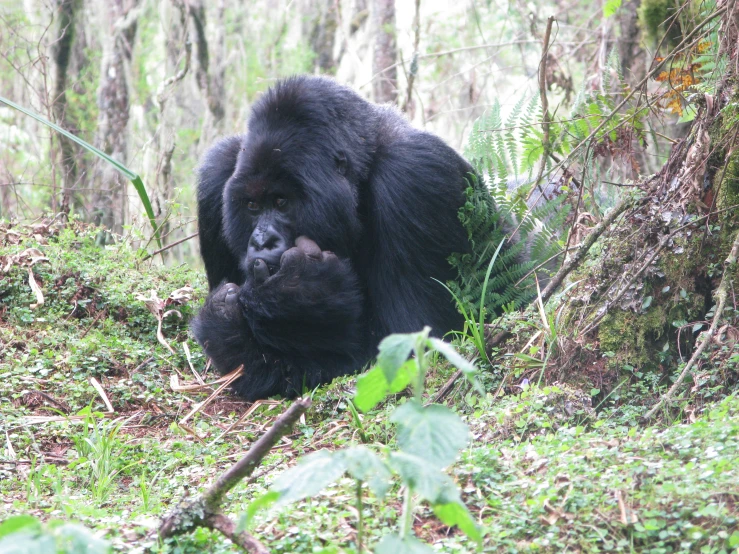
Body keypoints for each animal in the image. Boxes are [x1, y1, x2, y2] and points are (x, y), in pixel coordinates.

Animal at [192, 75, 474, 398]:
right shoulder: (216, 173)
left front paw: (299, 292)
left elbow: (413, 346)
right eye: (252, 206)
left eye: (281, 202)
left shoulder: (415, 176)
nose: (262, 242)